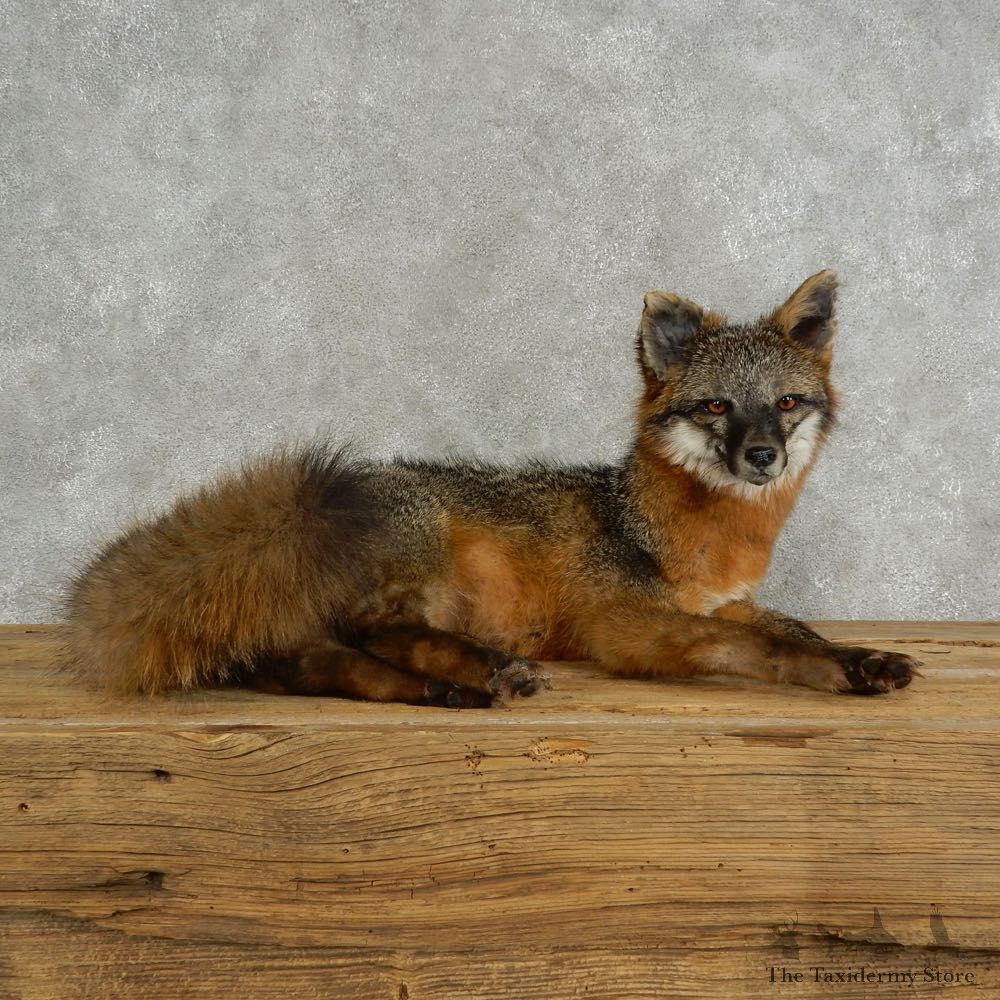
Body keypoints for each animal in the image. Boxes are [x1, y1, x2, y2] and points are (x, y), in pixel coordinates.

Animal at [63, 269, 918, 707]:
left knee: (321, 665)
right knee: (377, 632)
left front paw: (859, 656)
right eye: (717, 408)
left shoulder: (723, 599)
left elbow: (794, 629)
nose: (764, 456)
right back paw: (483, 672)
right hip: (420, 567)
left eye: (785, 403)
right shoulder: (629, 625)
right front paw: (833, 668)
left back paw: (443, 691)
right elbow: (754, 646)